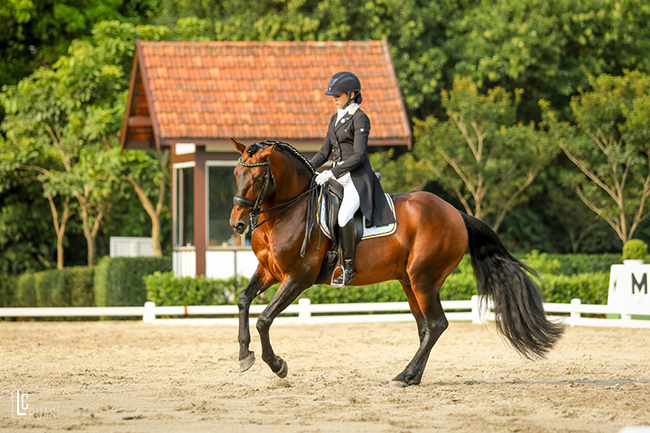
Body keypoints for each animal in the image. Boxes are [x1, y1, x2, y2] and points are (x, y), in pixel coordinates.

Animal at [228, 138, 560, 384]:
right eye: (235, 174)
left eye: (257, 177)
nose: (238, 224)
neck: (288, 211)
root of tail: (455, 212)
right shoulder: (269, 271)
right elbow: (243, 300)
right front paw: (244, 355)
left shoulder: (298, 277)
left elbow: (264, 318)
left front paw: (277, 365)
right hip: (409, 281)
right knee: (426, 327)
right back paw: (412, 377)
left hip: (423, 279)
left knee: (436, 324)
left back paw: (404, 376)